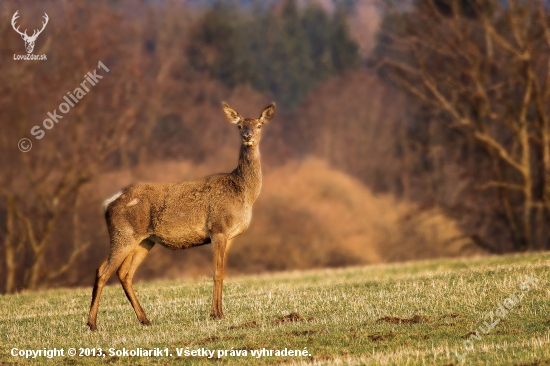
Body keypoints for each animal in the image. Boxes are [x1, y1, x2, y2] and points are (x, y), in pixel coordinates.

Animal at [87, 101, 276, 330]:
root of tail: (108, 203)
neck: (243, 192)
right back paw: (92, 324)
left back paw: (145, 319)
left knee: (124, 273)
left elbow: (222, 272)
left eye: (259, 125)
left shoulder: (230, 235)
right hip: (123, 233)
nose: (248, 136)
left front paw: (218, 313)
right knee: (102, 271)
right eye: (239, 126)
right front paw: (217, 314)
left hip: (144, 240)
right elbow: (216, 272)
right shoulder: (218, 228)